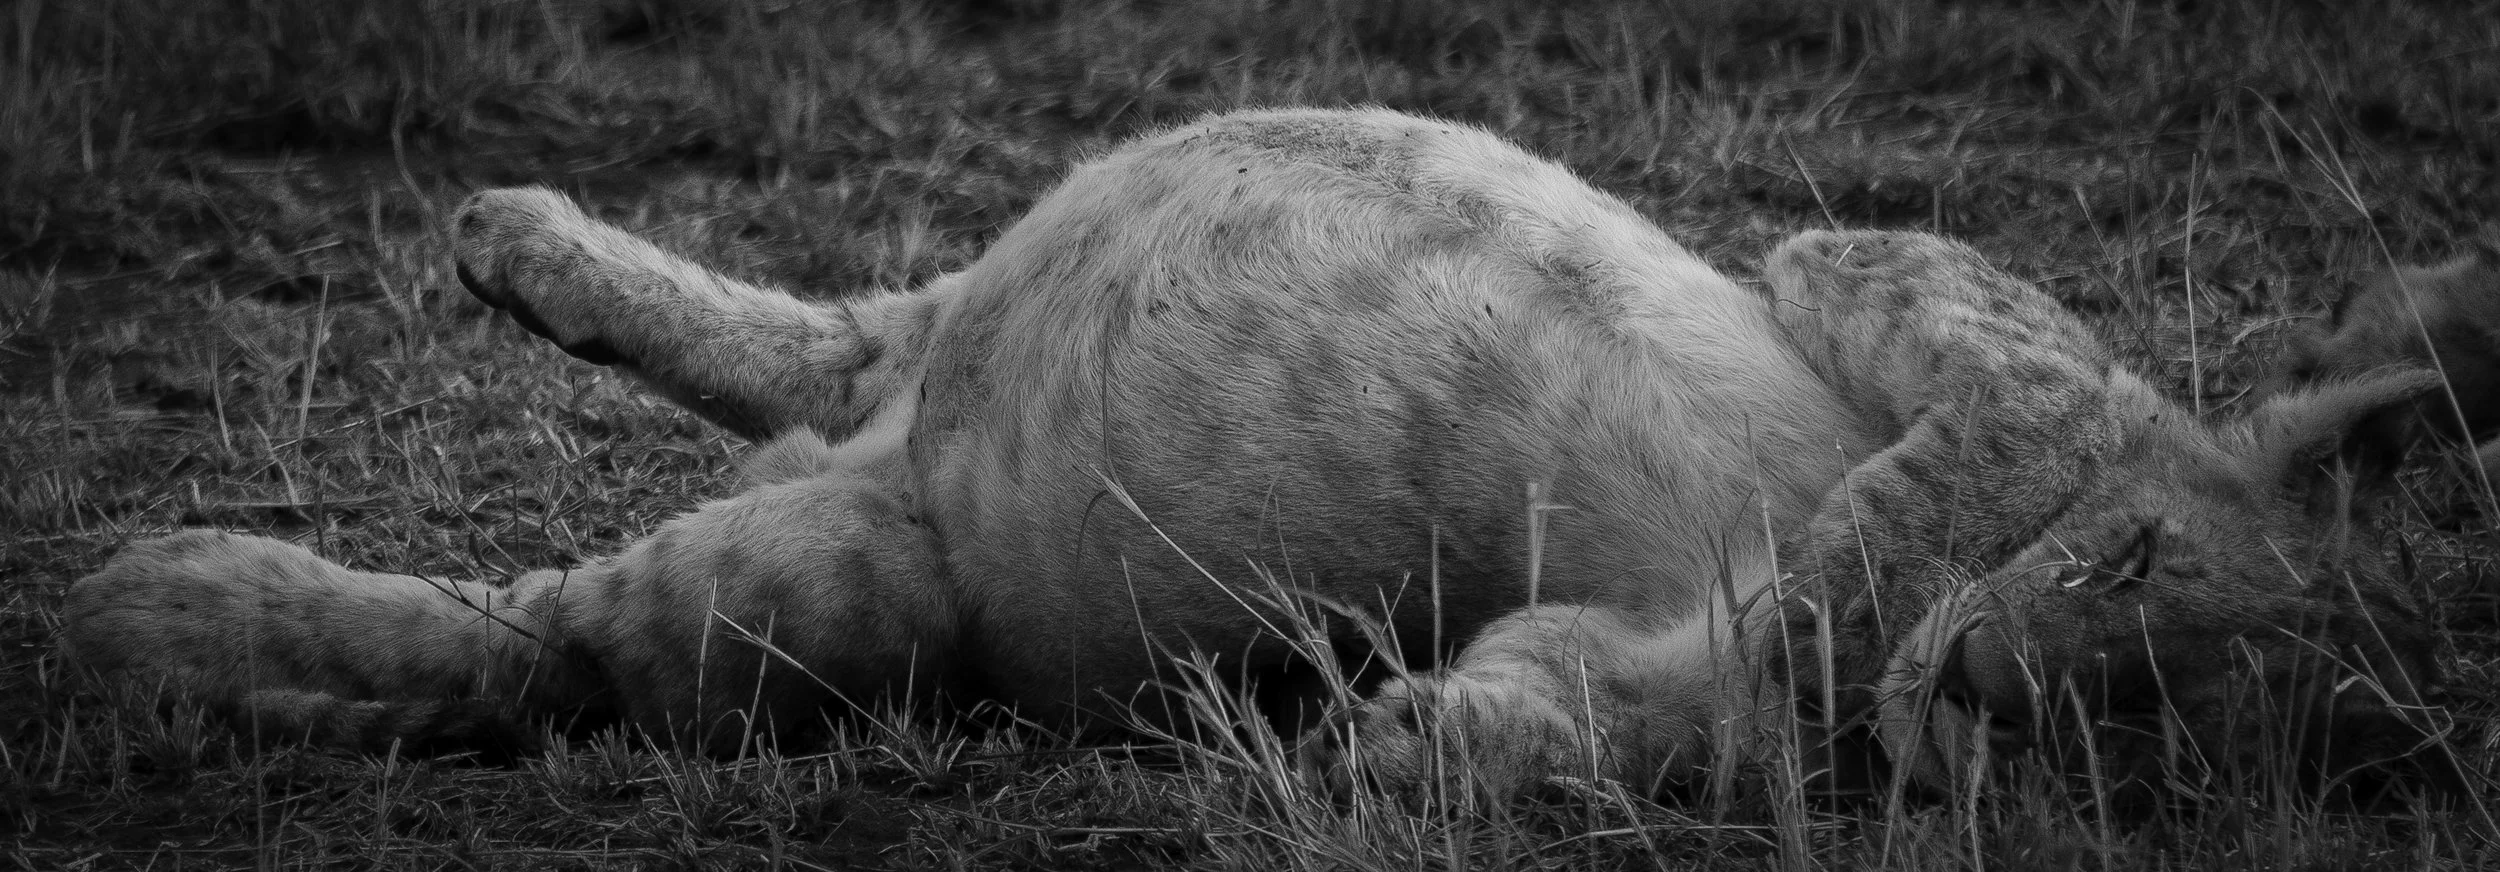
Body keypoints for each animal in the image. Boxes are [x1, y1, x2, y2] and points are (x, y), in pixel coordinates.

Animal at [61, 108, 2450, 798]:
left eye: (2124, 746)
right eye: (2125, 587)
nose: (1974, 691)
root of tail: (904, 446)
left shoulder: (1647, 688)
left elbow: (1590, 708)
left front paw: (1370, 735)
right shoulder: (1906, 281)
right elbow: (1960, 427)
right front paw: (1870, 559)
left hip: (843, 574)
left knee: (537, 636)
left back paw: (150, 602)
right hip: (958, 305)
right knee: (819, 326)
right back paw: (512, 240)